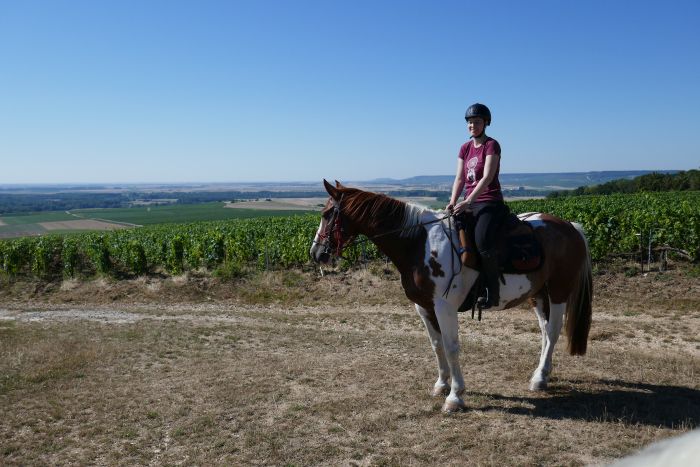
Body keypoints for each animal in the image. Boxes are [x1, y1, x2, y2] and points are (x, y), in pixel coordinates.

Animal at [310, 180, 592, 414]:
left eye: (327, 215)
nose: (316, 253)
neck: (418, 243)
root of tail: (571, 226)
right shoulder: (424, 307)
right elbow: (436, 345)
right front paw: (441, 384)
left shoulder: (444, 306)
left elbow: (451, 346)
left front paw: (455, 397)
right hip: (538, 295)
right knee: (545, 331)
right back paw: (540, 375)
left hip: (558, 291)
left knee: (553, 331)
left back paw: (540, 377)